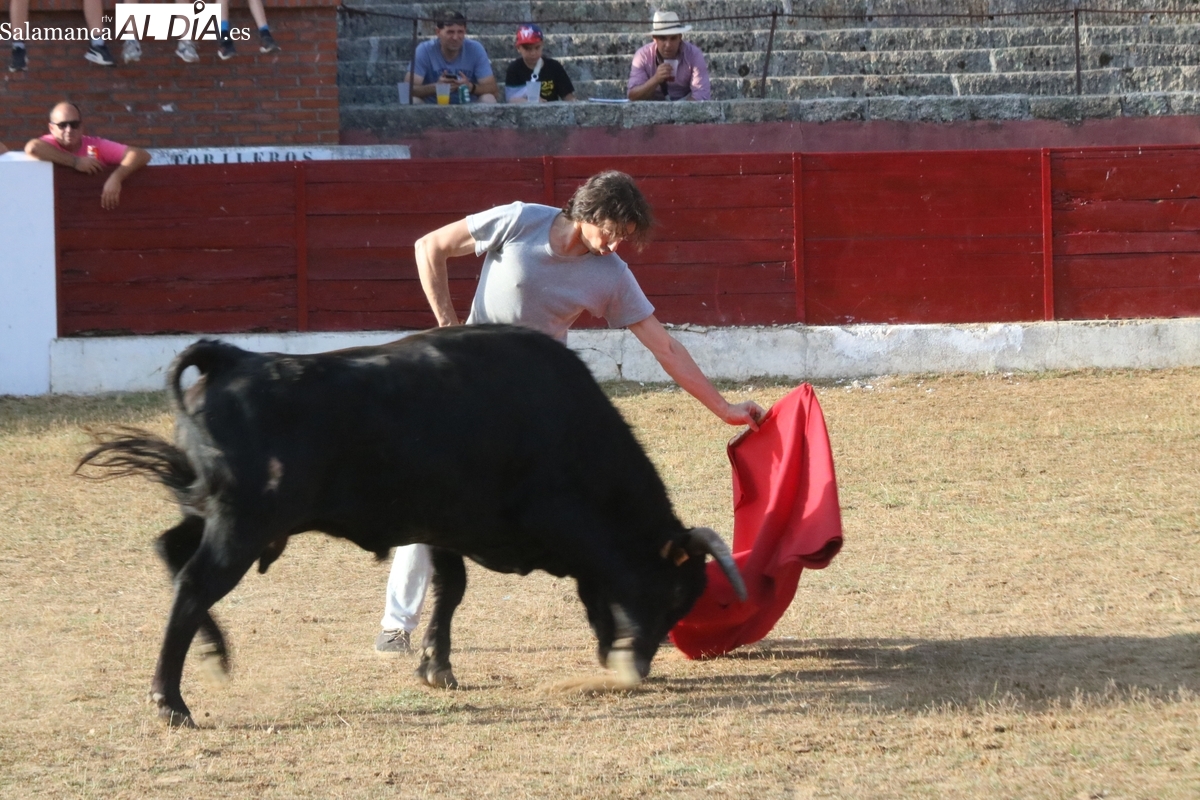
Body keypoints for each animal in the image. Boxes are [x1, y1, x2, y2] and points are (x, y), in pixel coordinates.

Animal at [78, 324, 746, 727]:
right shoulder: (532, 525)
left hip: (213, 514)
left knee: (171, 553)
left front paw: (436, 667)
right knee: (194, 585)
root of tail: (230, 359)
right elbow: (525, 588)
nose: (639, 669)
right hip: (242, 524)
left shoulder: (442, 526)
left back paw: (213, 654)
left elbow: (453, 589)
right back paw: (171, 701)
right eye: (671, 592)